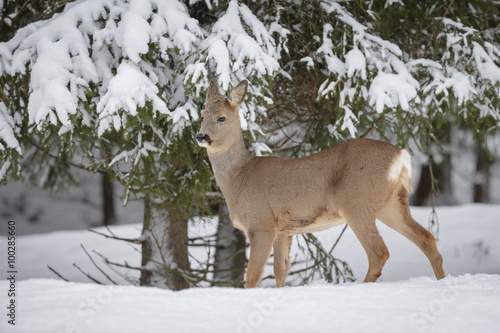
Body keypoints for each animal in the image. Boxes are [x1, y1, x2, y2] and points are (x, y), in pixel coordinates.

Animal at [195, 78, 446, 288]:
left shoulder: (261, 224)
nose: (201, 136)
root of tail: (402, 156)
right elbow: (280, 271)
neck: (239, 178)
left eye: (221, 117)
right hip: (392, 203)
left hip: (357, 203)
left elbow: (253, 276)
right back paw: (442, 281)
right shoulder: (284, 230)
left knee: (379, 252)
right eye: (203, 115)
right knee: (427, 239)